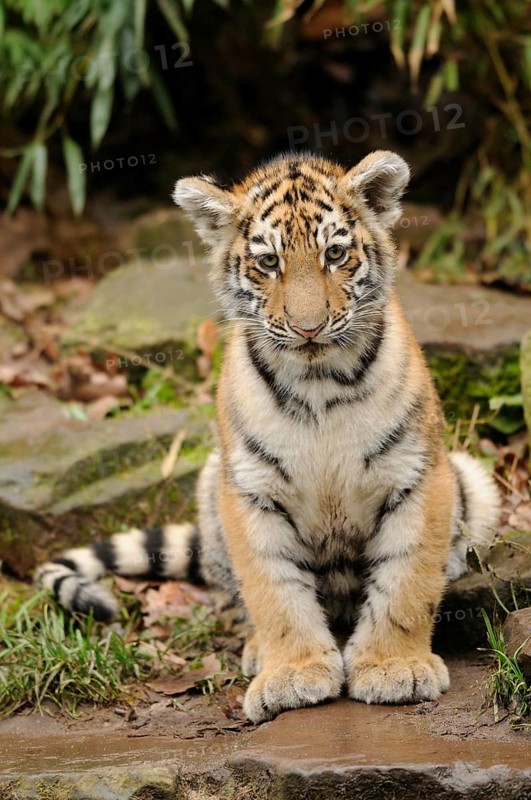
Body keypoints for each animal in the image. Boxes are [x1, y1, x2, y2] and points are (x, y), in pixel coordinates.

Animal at [37, 150, 500, 723]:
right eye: (268, 263)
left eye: (335, 253)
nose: (308, 328)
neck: (319, 380)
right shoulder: (251, 489)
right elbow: (274, 591)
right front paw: (294, 674)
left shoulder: (417, 474)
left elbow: (406, 581)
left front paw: (395, 668)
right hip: (211, 481)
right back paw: (257, 650)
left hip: (473, 478)